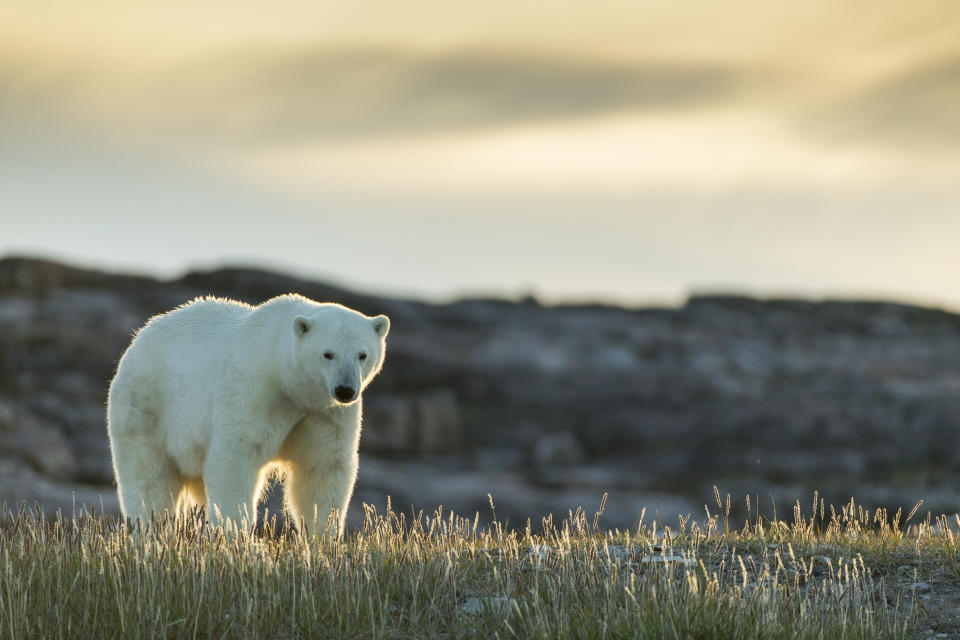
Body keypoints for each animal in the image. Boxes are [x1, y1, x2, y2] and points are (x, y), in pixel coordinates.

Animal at [106, 294, 390, 536]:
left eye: (363, 355)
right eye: (327, 354)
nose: (344, 390)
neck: (288, 384)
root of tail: (138, 339)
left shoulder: (324, 413)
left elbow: (323, 467)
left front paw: (323, 536)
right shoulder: (254, 391)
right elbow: (235, 458)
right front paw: (233, 534)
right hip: (146, 407)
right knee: (149, 482)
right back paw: (149, 533)